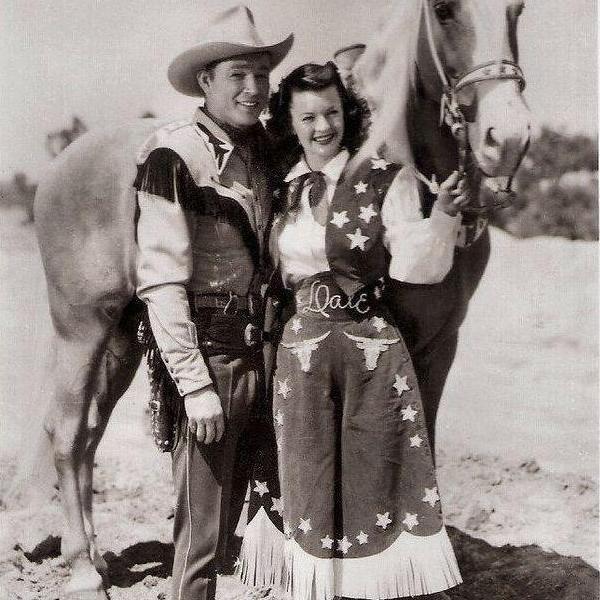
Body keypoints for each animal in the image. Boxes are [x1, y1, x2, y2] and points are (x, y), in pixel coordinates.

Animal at [31, 1, 530, 598]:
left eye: (517, 11)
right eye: (445, 11)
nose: (509, 136)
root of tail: (62, 166)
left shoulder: (439, 343)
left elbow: (425, 438)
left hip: (123, 336)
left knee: (88, 431)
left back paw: (98, 556)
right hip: (81, 326)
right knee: (66, 431)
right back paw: (83, 569)